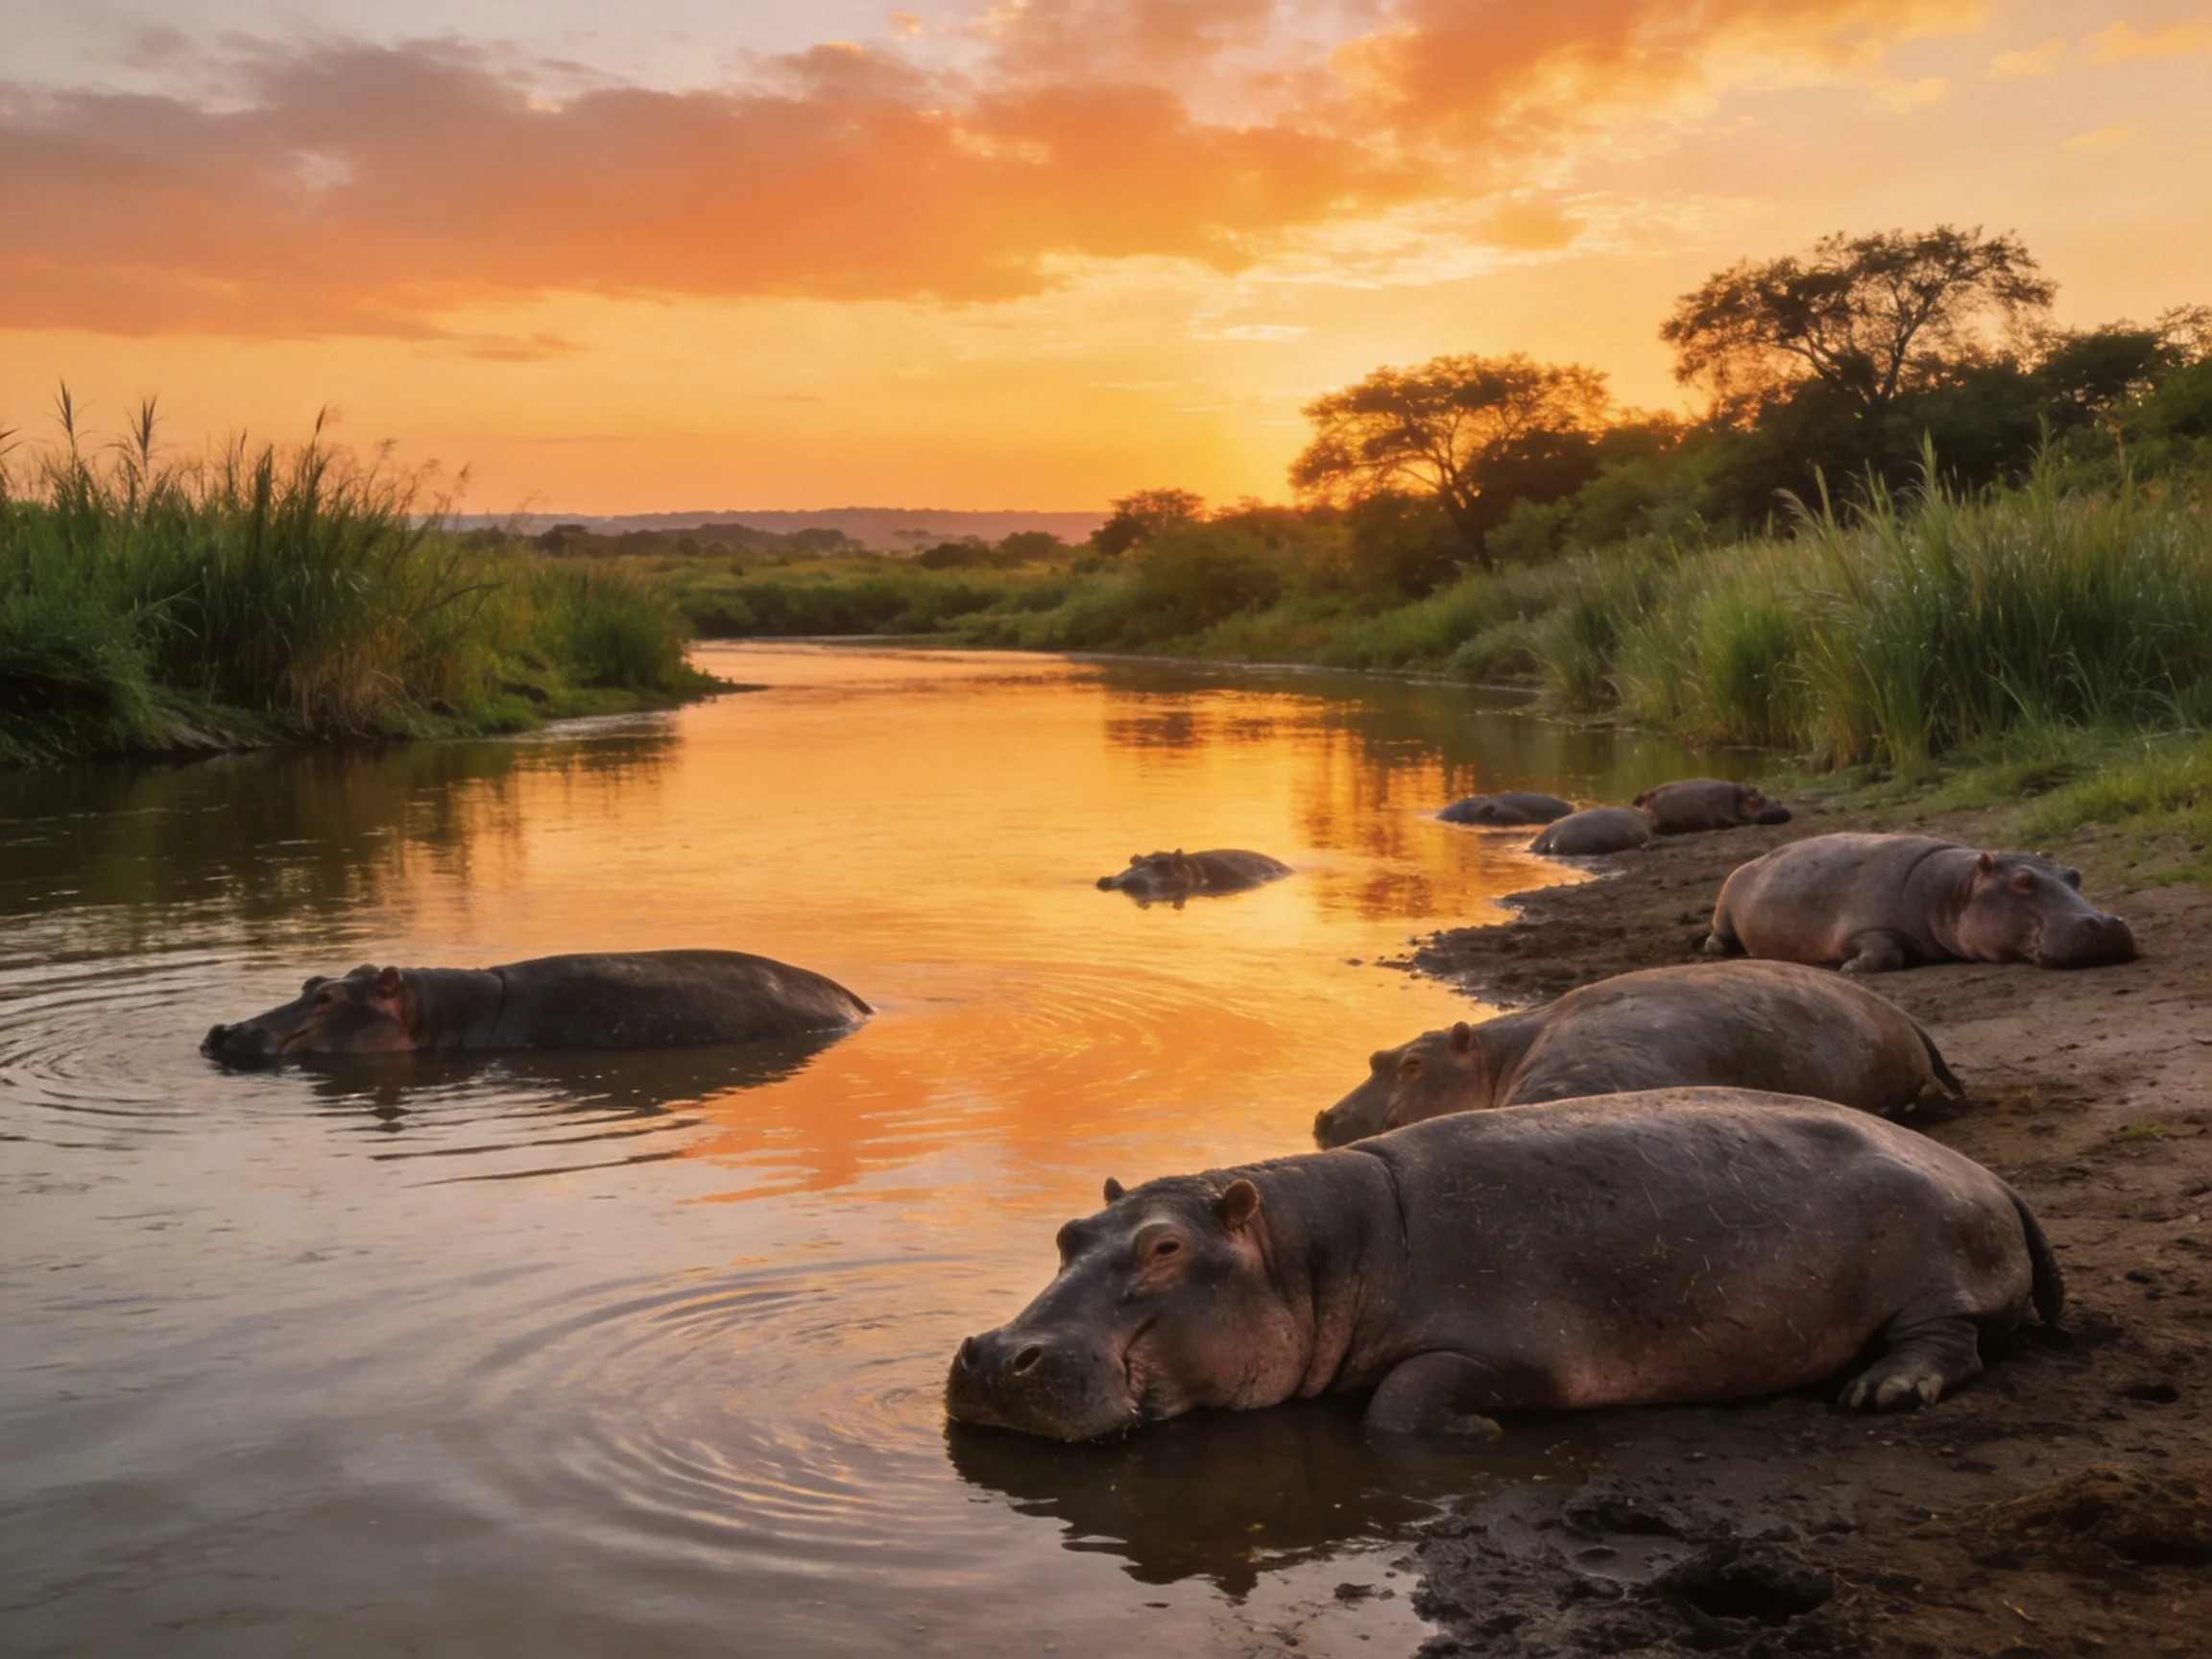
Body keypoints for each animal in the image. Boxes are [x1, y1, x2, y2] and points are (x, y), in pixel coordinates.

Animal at [946, 1089, 2062, 1442]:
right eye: (1066, 1235)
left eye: (1167, 1247)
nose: (996, 1355)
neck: (1315, 1251)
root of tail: (1992, 1176)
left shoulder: (1504, 1344)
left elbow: (1400, 1404)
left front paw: (1477, 1431)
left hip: (1929, 1269)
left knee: (1950, 1337)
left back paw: (1883, 1392)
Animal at [1711, 833, 2136, 973]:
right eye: (2022, 881)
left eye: (2074, 874)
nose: (2106, 924)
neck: (1955, 889)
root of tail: (1750, 862)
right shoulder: (1864, 926)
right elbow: (1885, 951)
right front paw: (1851, 968)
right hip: (1726, 906)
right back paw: (1714, 947)